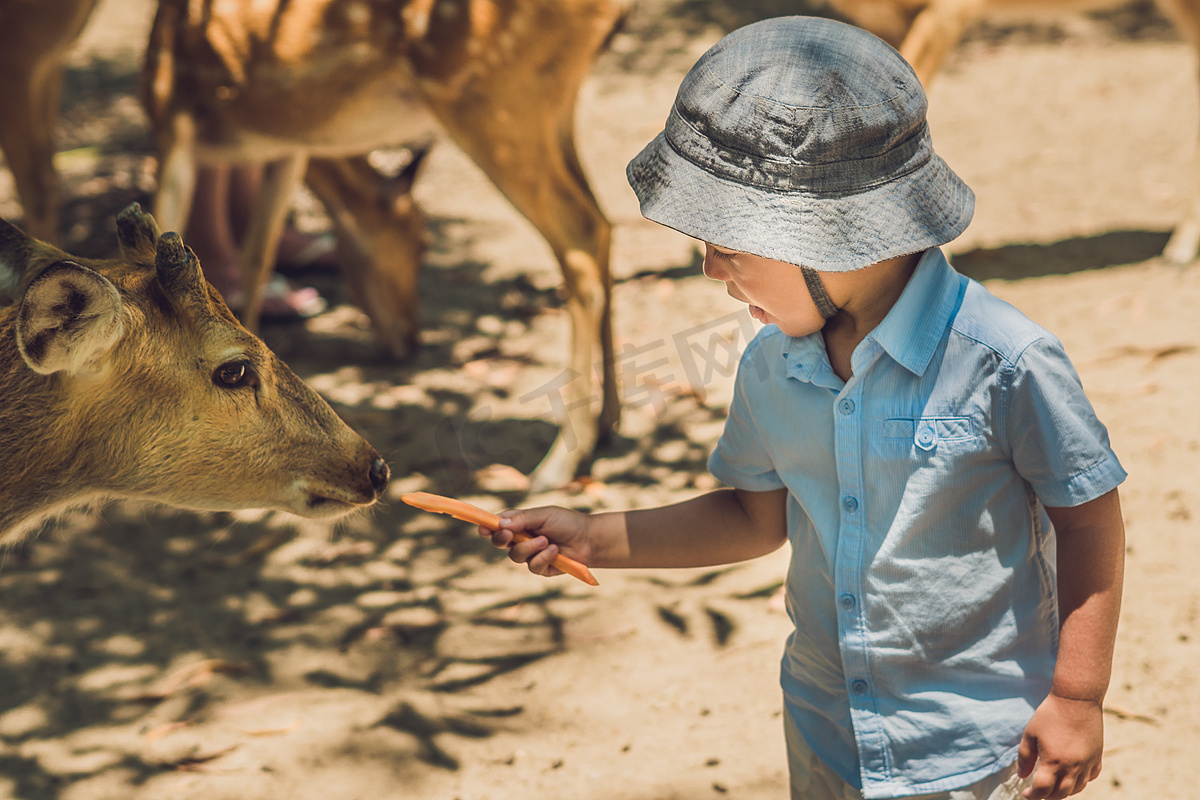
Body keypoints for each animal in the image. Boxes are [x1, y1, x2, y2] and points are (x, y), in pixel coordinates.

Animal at [140, 0, 628, 491]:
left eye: (425, 245)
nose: (410, 338)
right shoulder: (288, 145)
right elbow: (255, 257)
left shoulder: (172, 121)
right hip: (555, 105)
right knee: (606, 221)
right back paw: (608, 423)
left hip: (492, 100)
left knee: (582, 236)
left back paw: (558, 463)